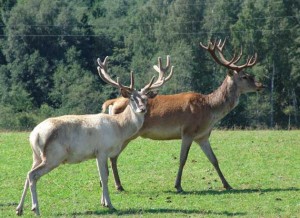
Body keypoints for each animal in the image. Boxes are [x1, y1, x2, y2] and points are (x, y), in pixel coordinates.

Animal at [15, 55, 173, 215]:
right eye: (132, 99)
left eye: (145, 99)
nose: (142, 109)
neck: (119, 129)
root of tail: (34, 135)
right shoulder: (102, 150)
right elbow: (104, 177)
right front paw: (109, 204)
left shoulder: (96, 153)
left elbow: (102, 176)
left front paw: (103, 202)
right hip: (53, 156)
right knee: (33, 175)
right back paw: (35, 209)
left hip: (36, 155)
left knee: (27, 174)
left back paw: (19, 209)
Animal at [102, 39, 264, 192]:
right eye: (244, 76)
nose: (261, 85)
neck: (209, 110)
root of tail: (112, 103)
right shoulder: (188, 131)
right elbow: (182, 159)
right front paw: (178, 185)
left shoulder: (203, 136)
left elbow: (214, 159)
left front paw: (227, 185)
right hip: (127, 134)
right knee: (113, 156)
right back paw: (118, 185)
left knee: (113, 156)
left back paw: (117, 184)